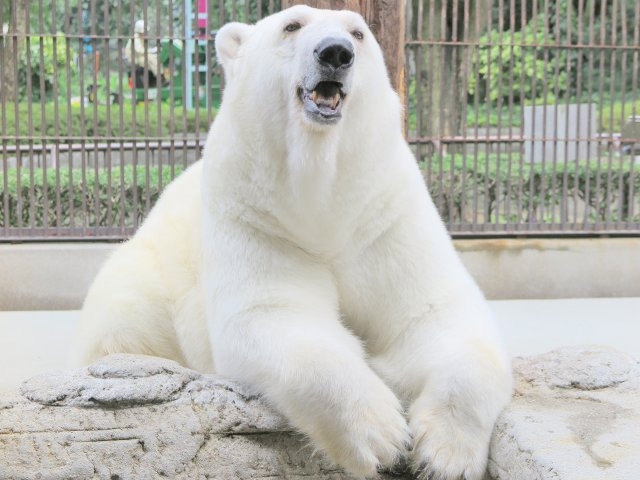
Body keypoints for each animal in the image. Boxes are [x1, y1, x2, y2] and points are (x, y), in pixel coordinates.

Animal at [75, 4, 512, 480]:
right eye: (292, 25)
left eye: (358, 33)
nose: (336, 52)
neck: (323, 194)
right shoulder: (255, 216)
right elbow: (275, 315)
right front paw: (382, 435)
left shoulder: (385, 214)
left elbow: (433, 314)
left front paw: (444, 455)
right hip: (142, 276)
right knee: (123, 321)